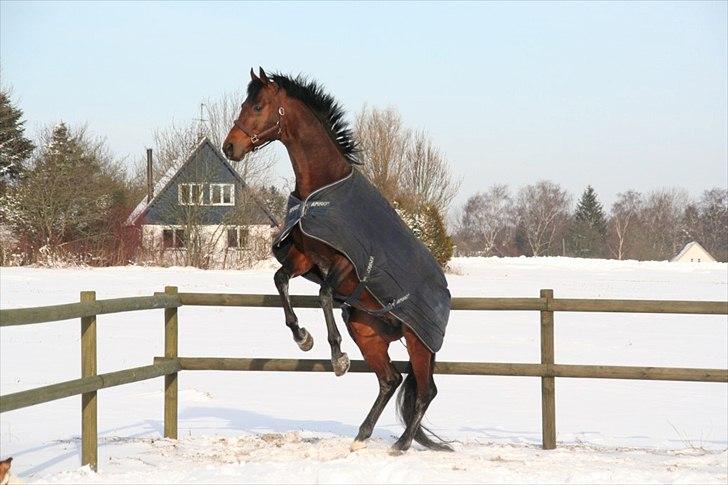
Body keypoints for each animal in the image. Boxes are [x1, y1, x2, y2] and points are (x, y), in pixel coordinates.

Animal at [223, 66, 450, 452]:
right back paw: (362, 436)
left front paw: (337, 358)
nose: (230, 147)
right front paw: (302, 337)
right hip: (366, 330)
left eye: (257, 106)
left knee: (426, 390)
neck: (320, 190)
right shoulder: (303, 259)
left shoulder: (347, 264)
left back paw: (401, 445)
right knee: (390, 380)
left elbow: (325, 294)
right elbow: (280, 281)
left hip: (418, 341)